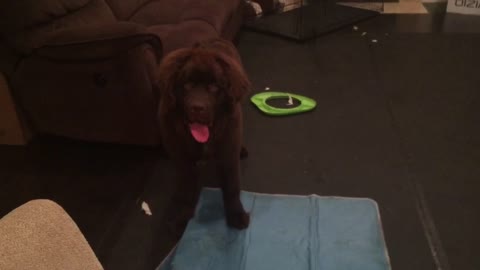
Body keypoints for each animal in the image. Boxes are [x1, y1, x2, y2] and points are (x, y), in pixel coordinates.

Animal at [156, 38, 251, 230]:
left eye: (214, 87)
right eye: (186, 85)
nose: (197, 108)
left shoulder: (228, 151)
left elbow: (232, 186)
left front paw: (236, 214)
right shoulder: (182, 159)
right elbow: (185, 189)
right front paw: (181, 217)